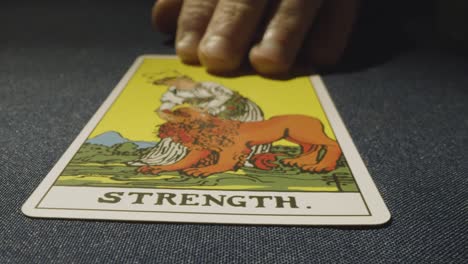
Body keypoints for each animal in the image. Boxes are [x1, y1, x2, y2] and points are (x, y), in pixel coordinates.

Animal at [137, 107, 342, 177]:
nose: (161, 130)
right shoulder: (200, 150)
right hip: (295, 135)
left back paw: (320, 166)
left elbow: (223, 163)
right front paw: (156, 168)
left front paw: (203, 170)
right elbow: (180, 163)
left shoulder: (234, 149)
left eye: (178, 116)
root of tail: (317, 120)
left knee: (332, 144)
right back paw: (300, 161)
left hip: (298, 131)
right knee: (312, 147)